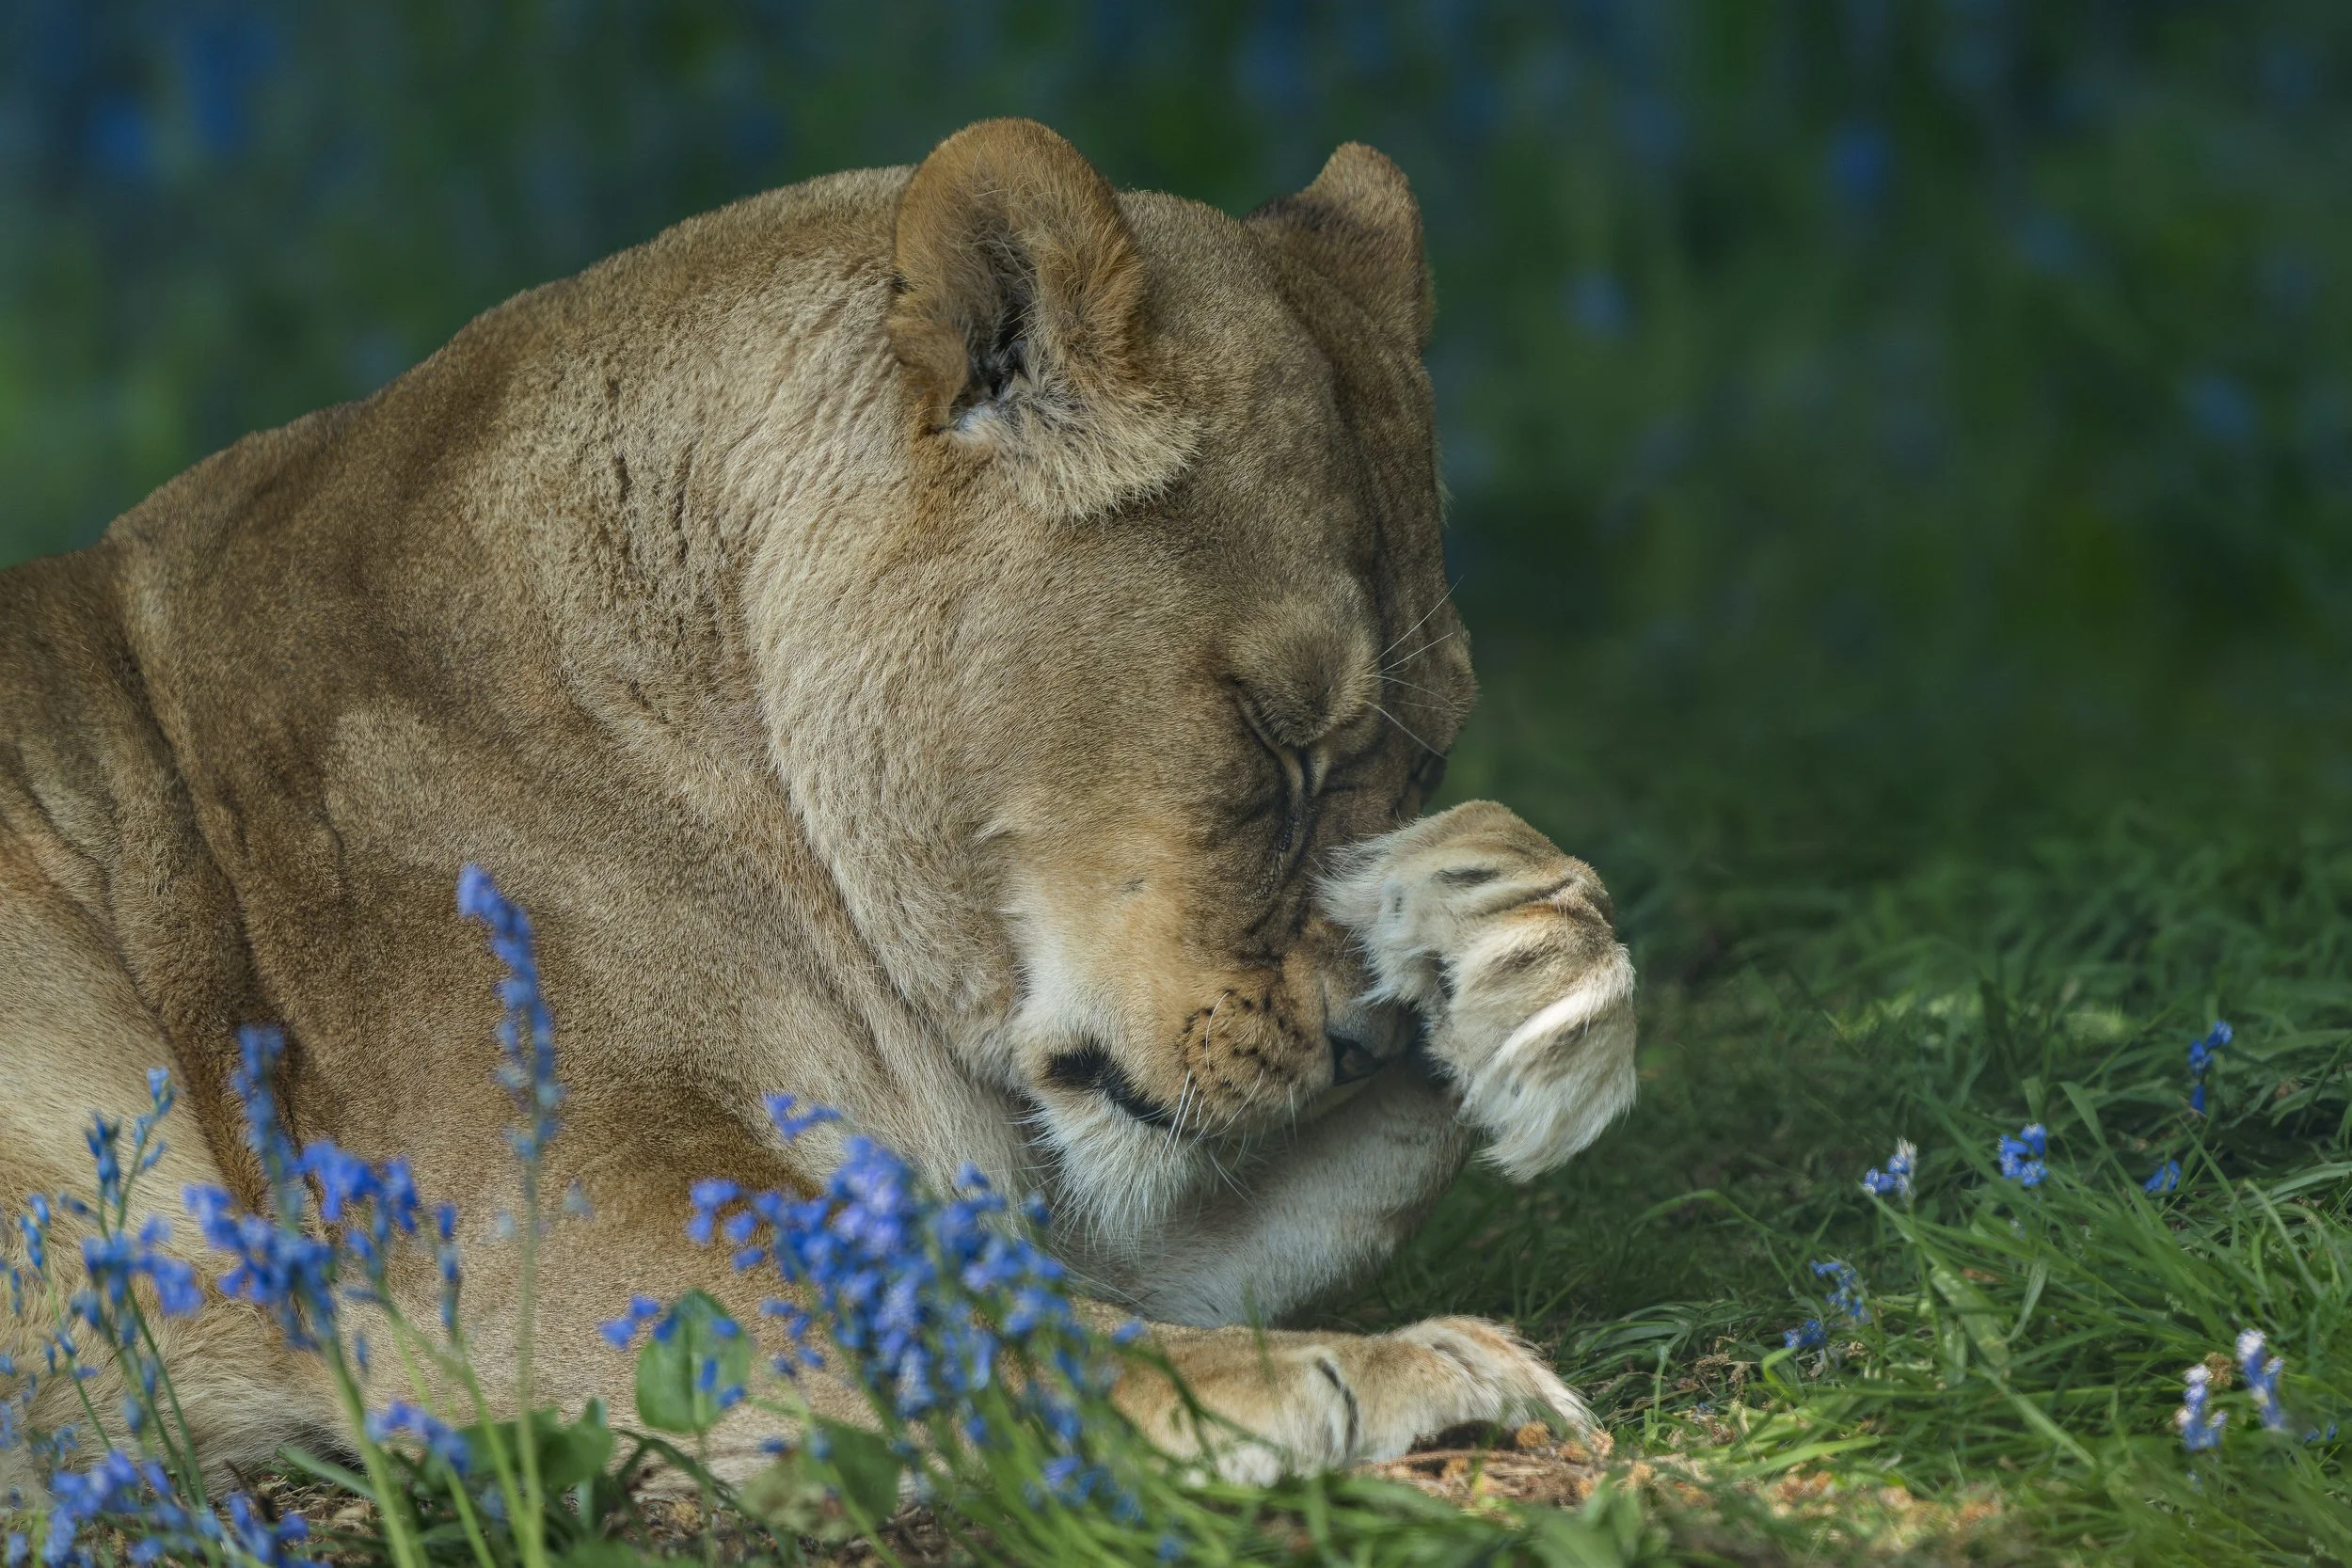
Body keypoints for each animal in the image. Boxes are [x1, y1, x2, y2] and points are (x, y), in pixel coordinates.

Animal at [0, 119, 1637, 1490]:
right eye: (1274, 739)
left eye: (1427, 764)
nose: (1358, 1032)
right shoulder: (535, 1210)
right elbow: (972, 1329)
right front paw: (1387, 1368)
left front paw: (1525, 965)